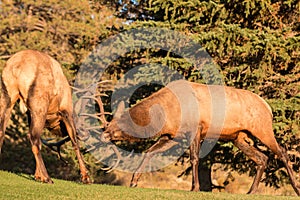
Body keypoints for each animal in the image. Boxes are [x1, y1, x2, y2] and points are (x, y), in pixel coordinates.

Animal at [0, 49, 91, 184]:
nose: (86, 134)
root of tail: (17, 69)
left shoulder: (29, 113)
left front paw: (37, 175)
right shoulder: (66, 110)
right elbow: (74, 142)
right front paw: (85, 177)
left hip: (7, 97)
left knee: (3, 132)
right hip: (40, 104)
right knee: (34, 138)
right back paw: (47, 177)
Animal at [101, 79, 300, 195]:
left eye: (117, 125)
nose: (104, 134)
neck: (166, 114)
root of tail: (268, 107)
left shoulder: (195, 129)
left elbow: (194, 159)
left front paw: (194, 187)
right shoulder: (172, 136)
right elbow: (149, 152)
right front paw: (134, 181)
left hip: (262, 129)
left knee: (282, 152)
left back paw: (296, 188)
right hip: (238, 138)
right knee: (262, 158)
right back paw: (251, 191)